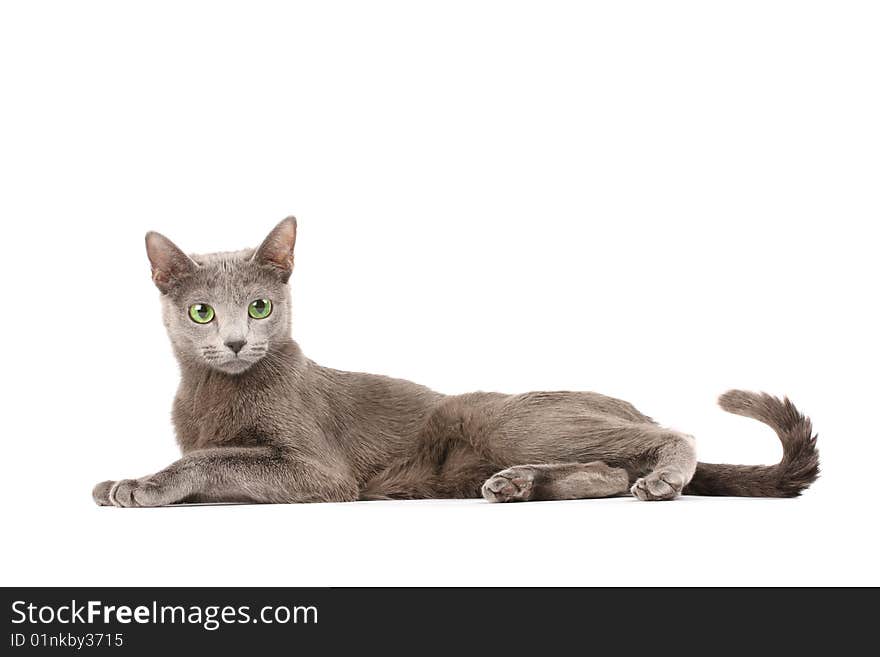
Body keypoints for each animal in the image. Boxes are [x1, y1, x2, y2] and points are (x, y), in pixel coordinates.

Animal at [91, 218, 820, 504]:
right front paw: (122, 478)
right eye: (203, 313)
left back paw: (661, 477)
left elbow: (215, 459)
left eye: (261, 307)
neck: (212, 391)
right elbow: (211, 455)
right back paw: (520, 484)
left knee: (666, 437)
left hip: (502, 417)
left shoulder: (318, 470)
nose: (240, 341)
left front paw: (144, 483)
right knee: (610, 469)